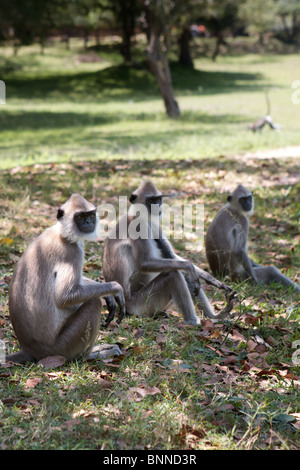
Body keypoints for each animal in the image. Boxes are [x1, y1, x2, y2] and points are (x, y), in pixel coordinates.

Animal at [6, 194, 125, 364]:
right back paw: (89, 355)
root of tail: (29, 350)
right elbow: (66, 296)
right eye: (80, 217)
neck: (61, 233)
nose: (88, 222)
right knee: (93, 302)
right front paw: (115, 288)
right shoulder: (72, 251)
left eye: (90, 215)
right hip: (62, 347)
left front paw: (108, 295)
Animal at [103, 181, 237, 326]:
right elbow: (145, 263)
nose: (158, 206)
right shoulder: (138, 226)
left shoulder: (153, 225)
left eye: (158, 200)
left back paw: (215, 316)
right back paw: (194, 321)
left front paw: (211, 279)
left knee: (182, 273)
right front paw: (190, 267)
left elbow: (172, 257)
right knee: (174, 274)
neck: (139, 215)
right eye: (151, 201)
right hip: (140, 305)